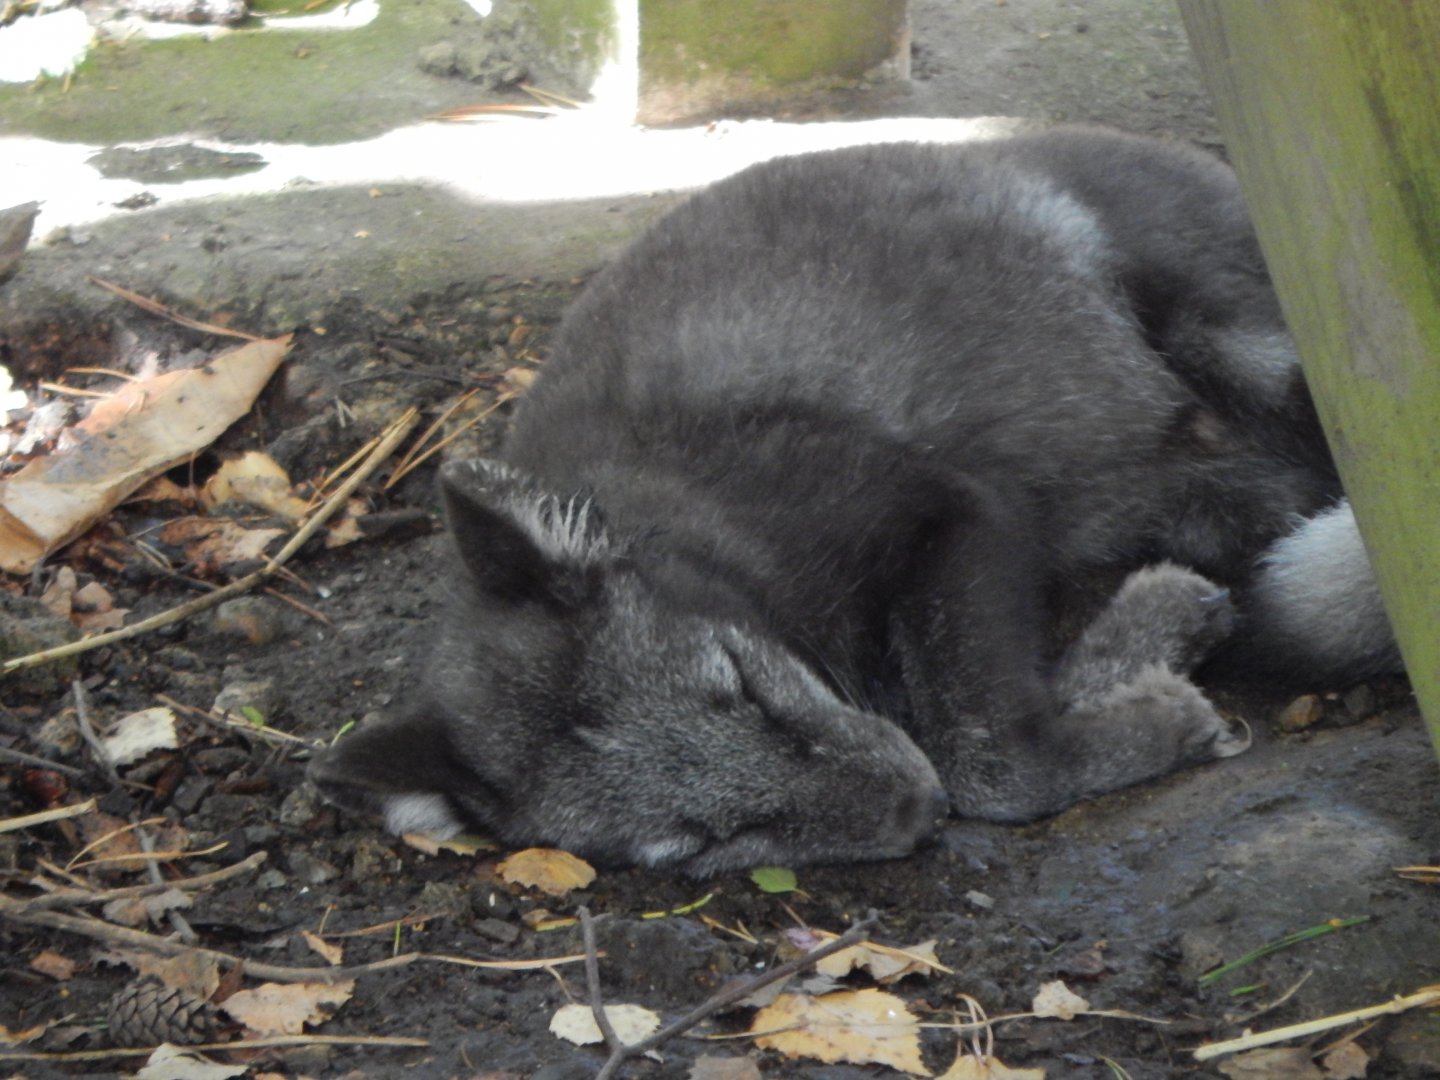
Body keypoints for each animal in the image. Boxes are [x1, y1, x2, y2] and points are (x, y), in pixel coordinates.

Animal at [309, 127, 1400, 877]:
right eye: (707, 841)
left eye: (740, 685)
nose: (915, 807)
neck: (685, 518)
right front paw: (1155, 646)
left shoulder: (948, 505)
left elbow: (985, 753)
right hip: (1212, 478)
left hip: (1250, 345)